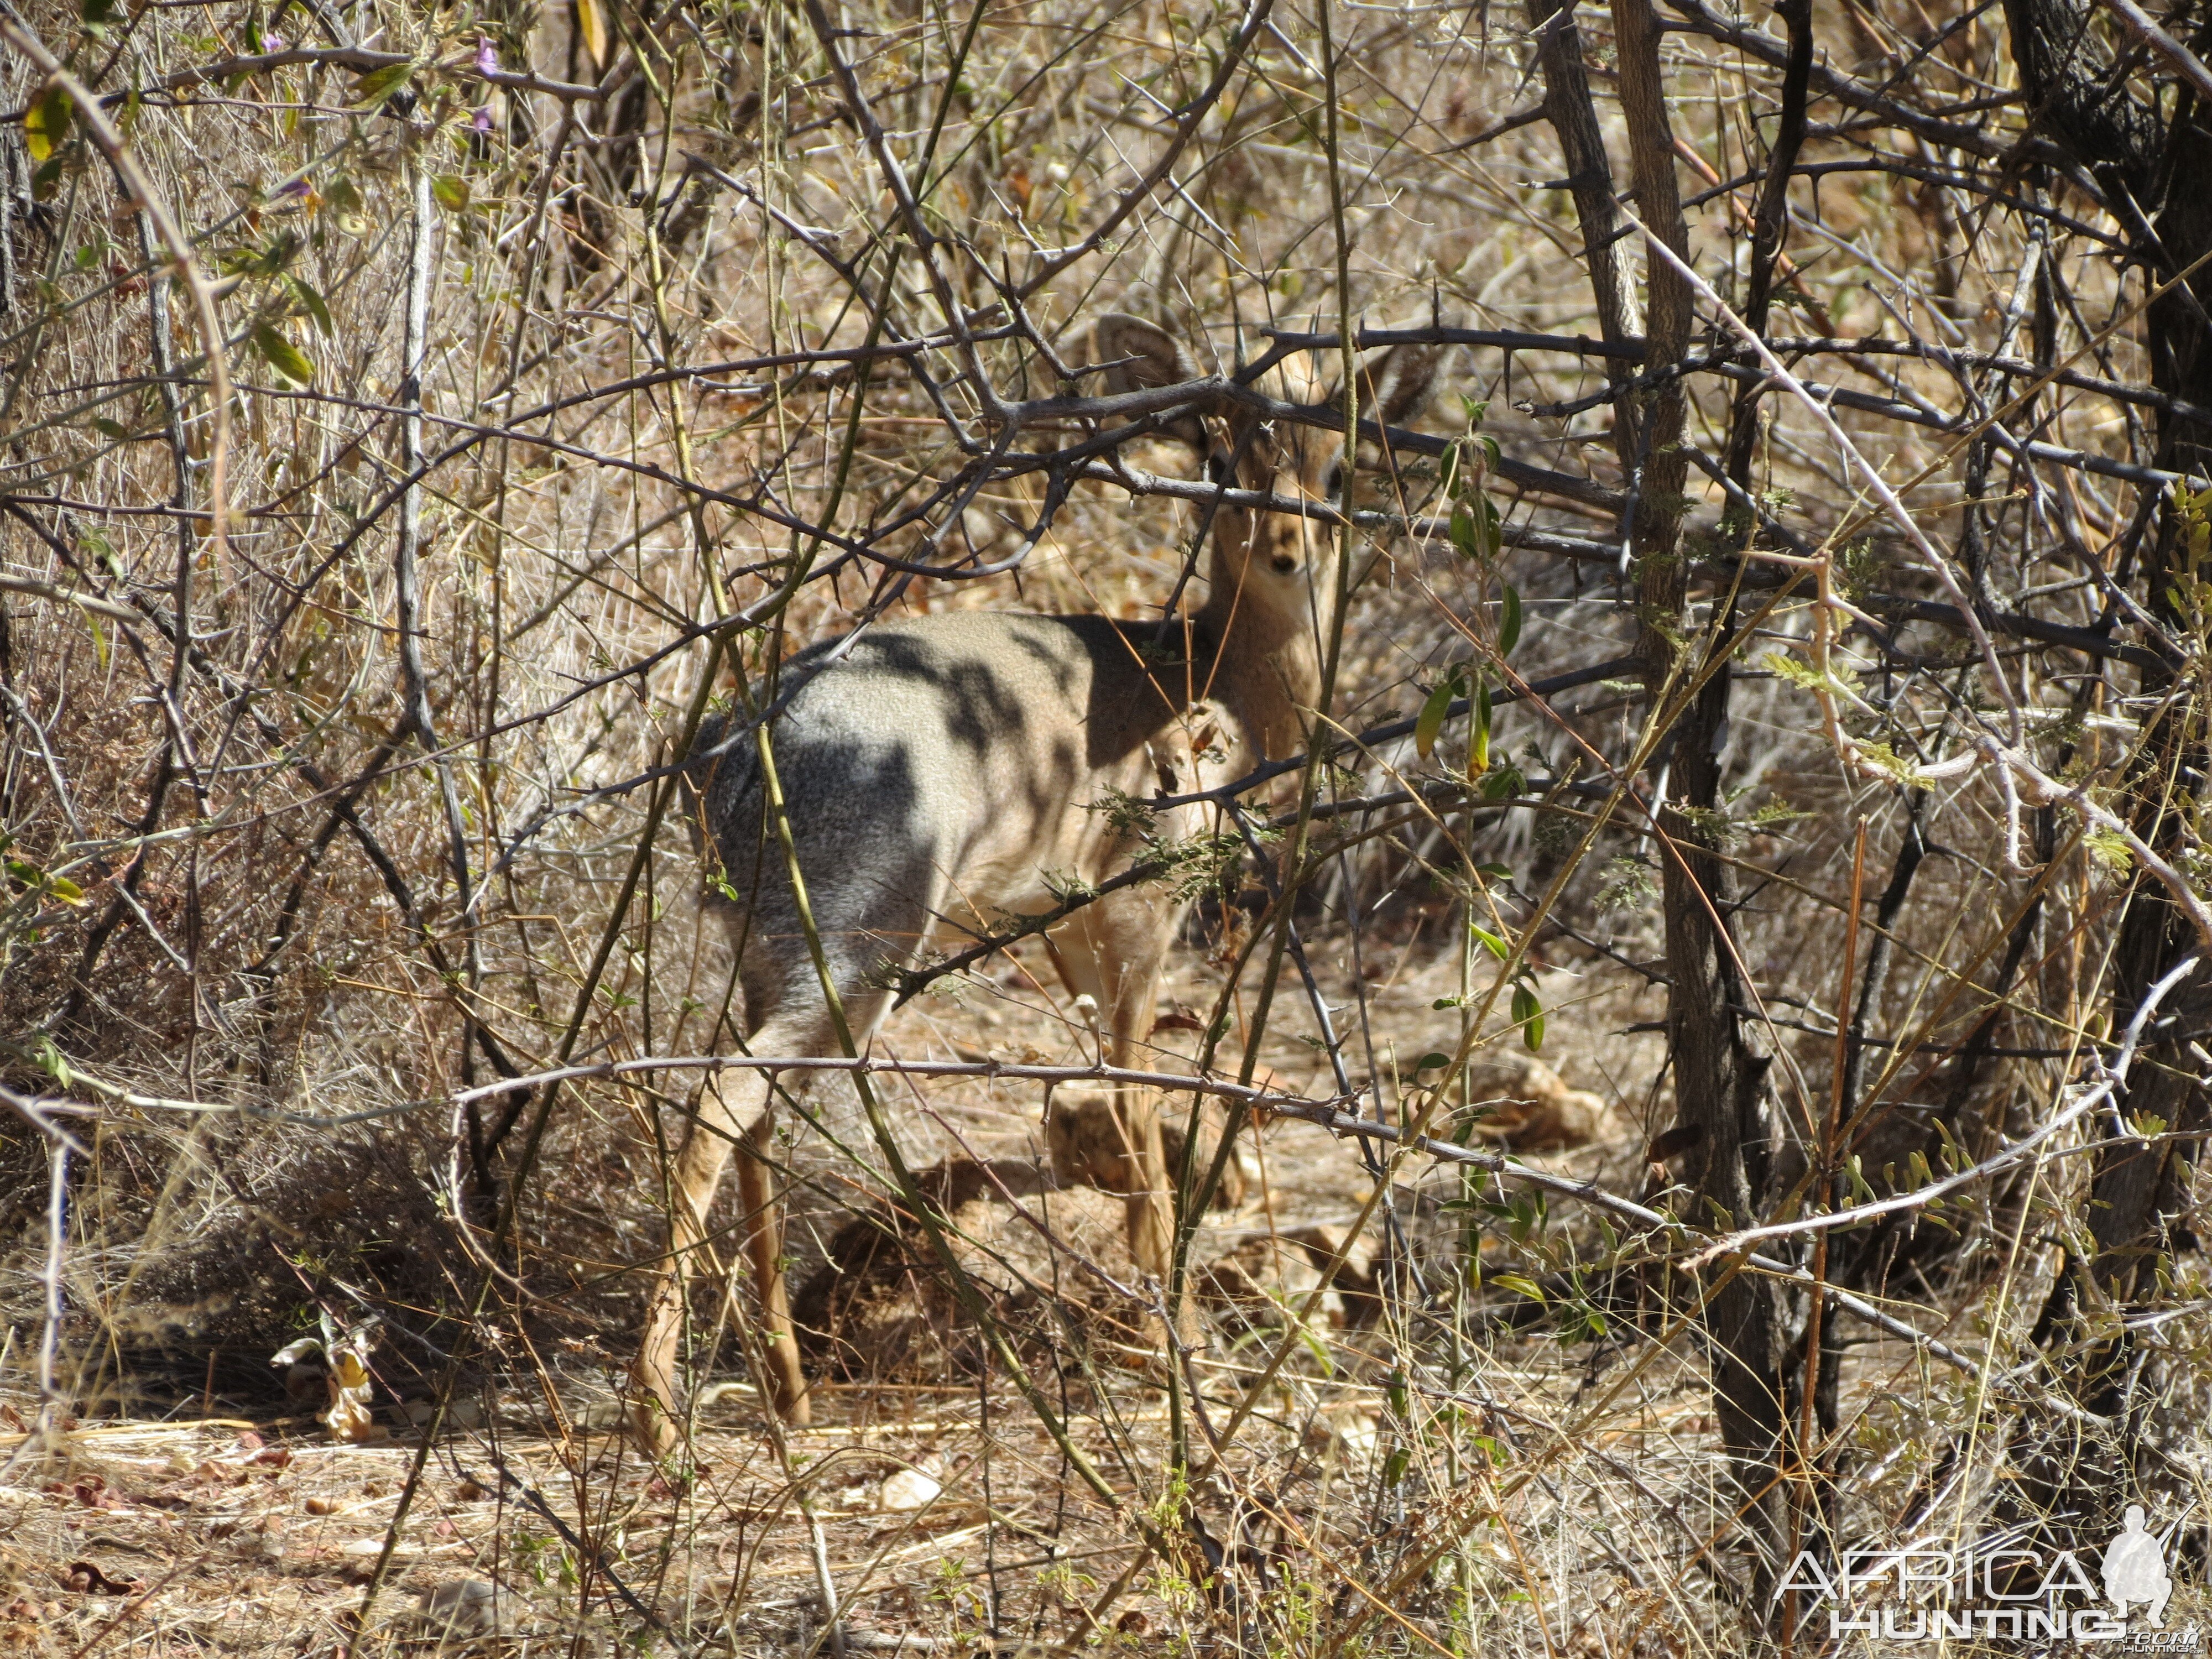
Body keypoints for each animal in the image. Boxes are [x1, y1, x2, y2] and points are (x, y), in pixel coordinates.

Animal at [633, 319, 1442, 1451]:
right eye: (1218, 458)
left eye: (1340, 464)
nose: (1289, 551)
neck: (1201, 675)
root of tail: (738, 755)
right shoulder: (1139, 914)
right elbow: (1144, 1106)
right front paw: (1177, 1338)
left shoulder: (1061, 929)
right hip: (858, 952)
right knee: (719, 1099)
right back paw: (659, 1418)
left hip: (771, 956)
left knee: (748, 1116)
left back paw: (789, 1394)